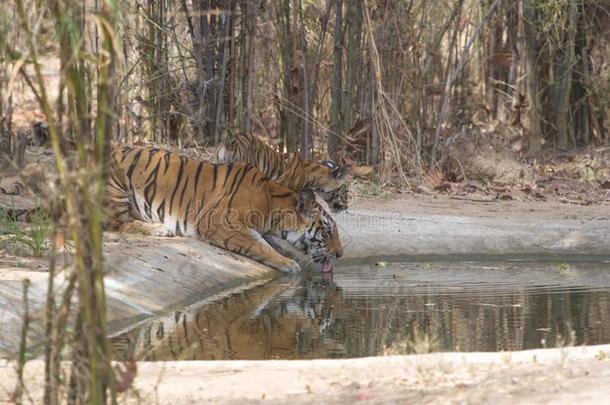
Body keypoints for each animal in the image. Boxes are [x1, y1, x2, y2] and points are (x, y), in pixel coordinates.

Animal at [106, 145, 340, 272]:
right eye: (327, 231)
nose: (340, 254)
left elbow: (272, 242)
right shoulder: (223, 223)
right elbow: (259, 245)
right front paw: (289, 263)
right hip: (116, 186)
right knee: (119, 224)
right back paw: (161, 229)